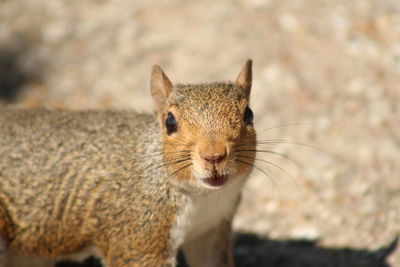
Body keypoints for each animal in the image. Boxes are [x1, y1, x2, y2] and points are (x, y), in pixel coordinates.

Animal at [0, 60, 256, 267]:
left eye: (249, 114)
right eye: (170, 122)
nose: (213, 156)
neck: (202, 197)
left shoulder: (210, 229)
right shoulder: (138, 235)